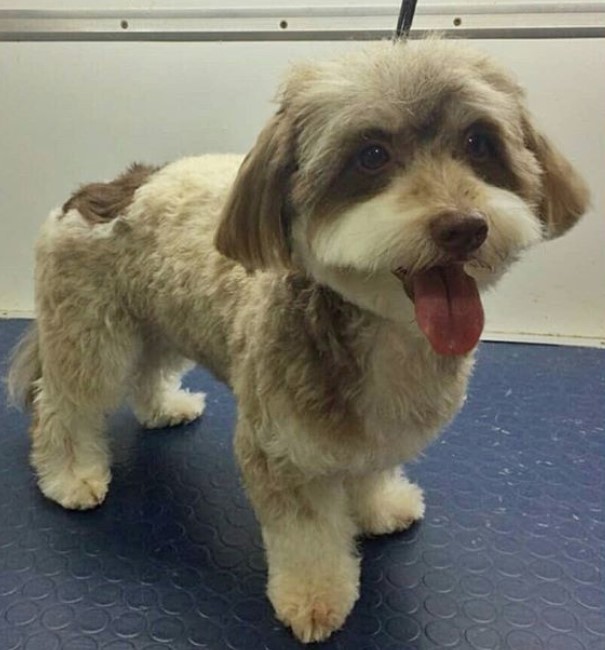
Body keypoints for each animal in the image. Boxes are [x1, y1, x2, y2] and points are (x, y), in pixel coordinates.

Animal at [7, 38, 588, 640]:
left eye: (479, 142)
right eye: (372, 155)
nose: (464, 226)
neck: (381, 329)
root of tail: (99, 190)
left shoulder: (375, 433)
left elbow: (370, 471)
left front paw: (379, 507)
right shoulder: (279, 448)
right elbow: (307, 536)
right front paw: (314, 598)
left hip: (160, 319)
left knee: (147, 371)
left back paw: (164, 407)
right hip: (90, 336)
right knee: (64, 406)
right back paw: (71, 475)